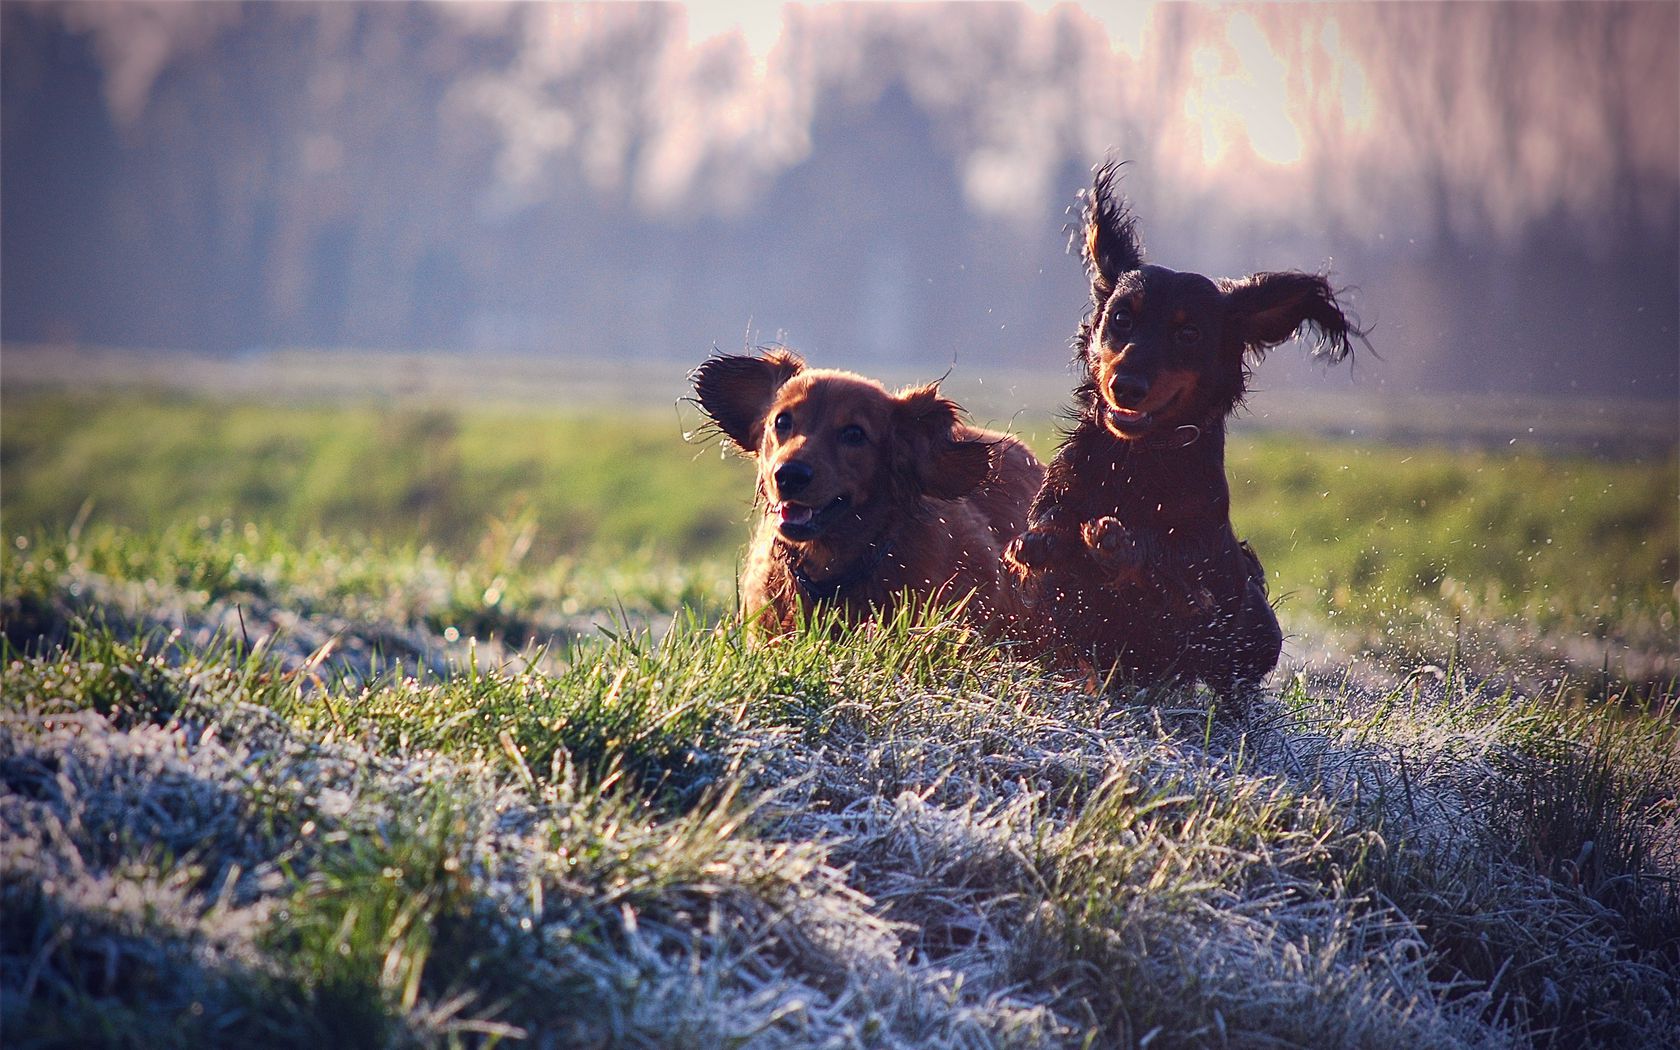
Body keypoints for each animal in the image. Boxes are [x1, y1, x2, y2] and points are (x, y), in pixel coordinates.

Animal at [1001, 163, 1357, 698]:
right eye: (1121, 317)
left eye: (1188, 333)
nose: (1125, 386)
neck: (1137, 460)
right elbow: (1045, 541)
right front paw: (1046, 542)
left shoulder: (1202, 585)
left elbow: (1174, 576)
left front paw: (1118, 543)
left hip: (1257, 628)